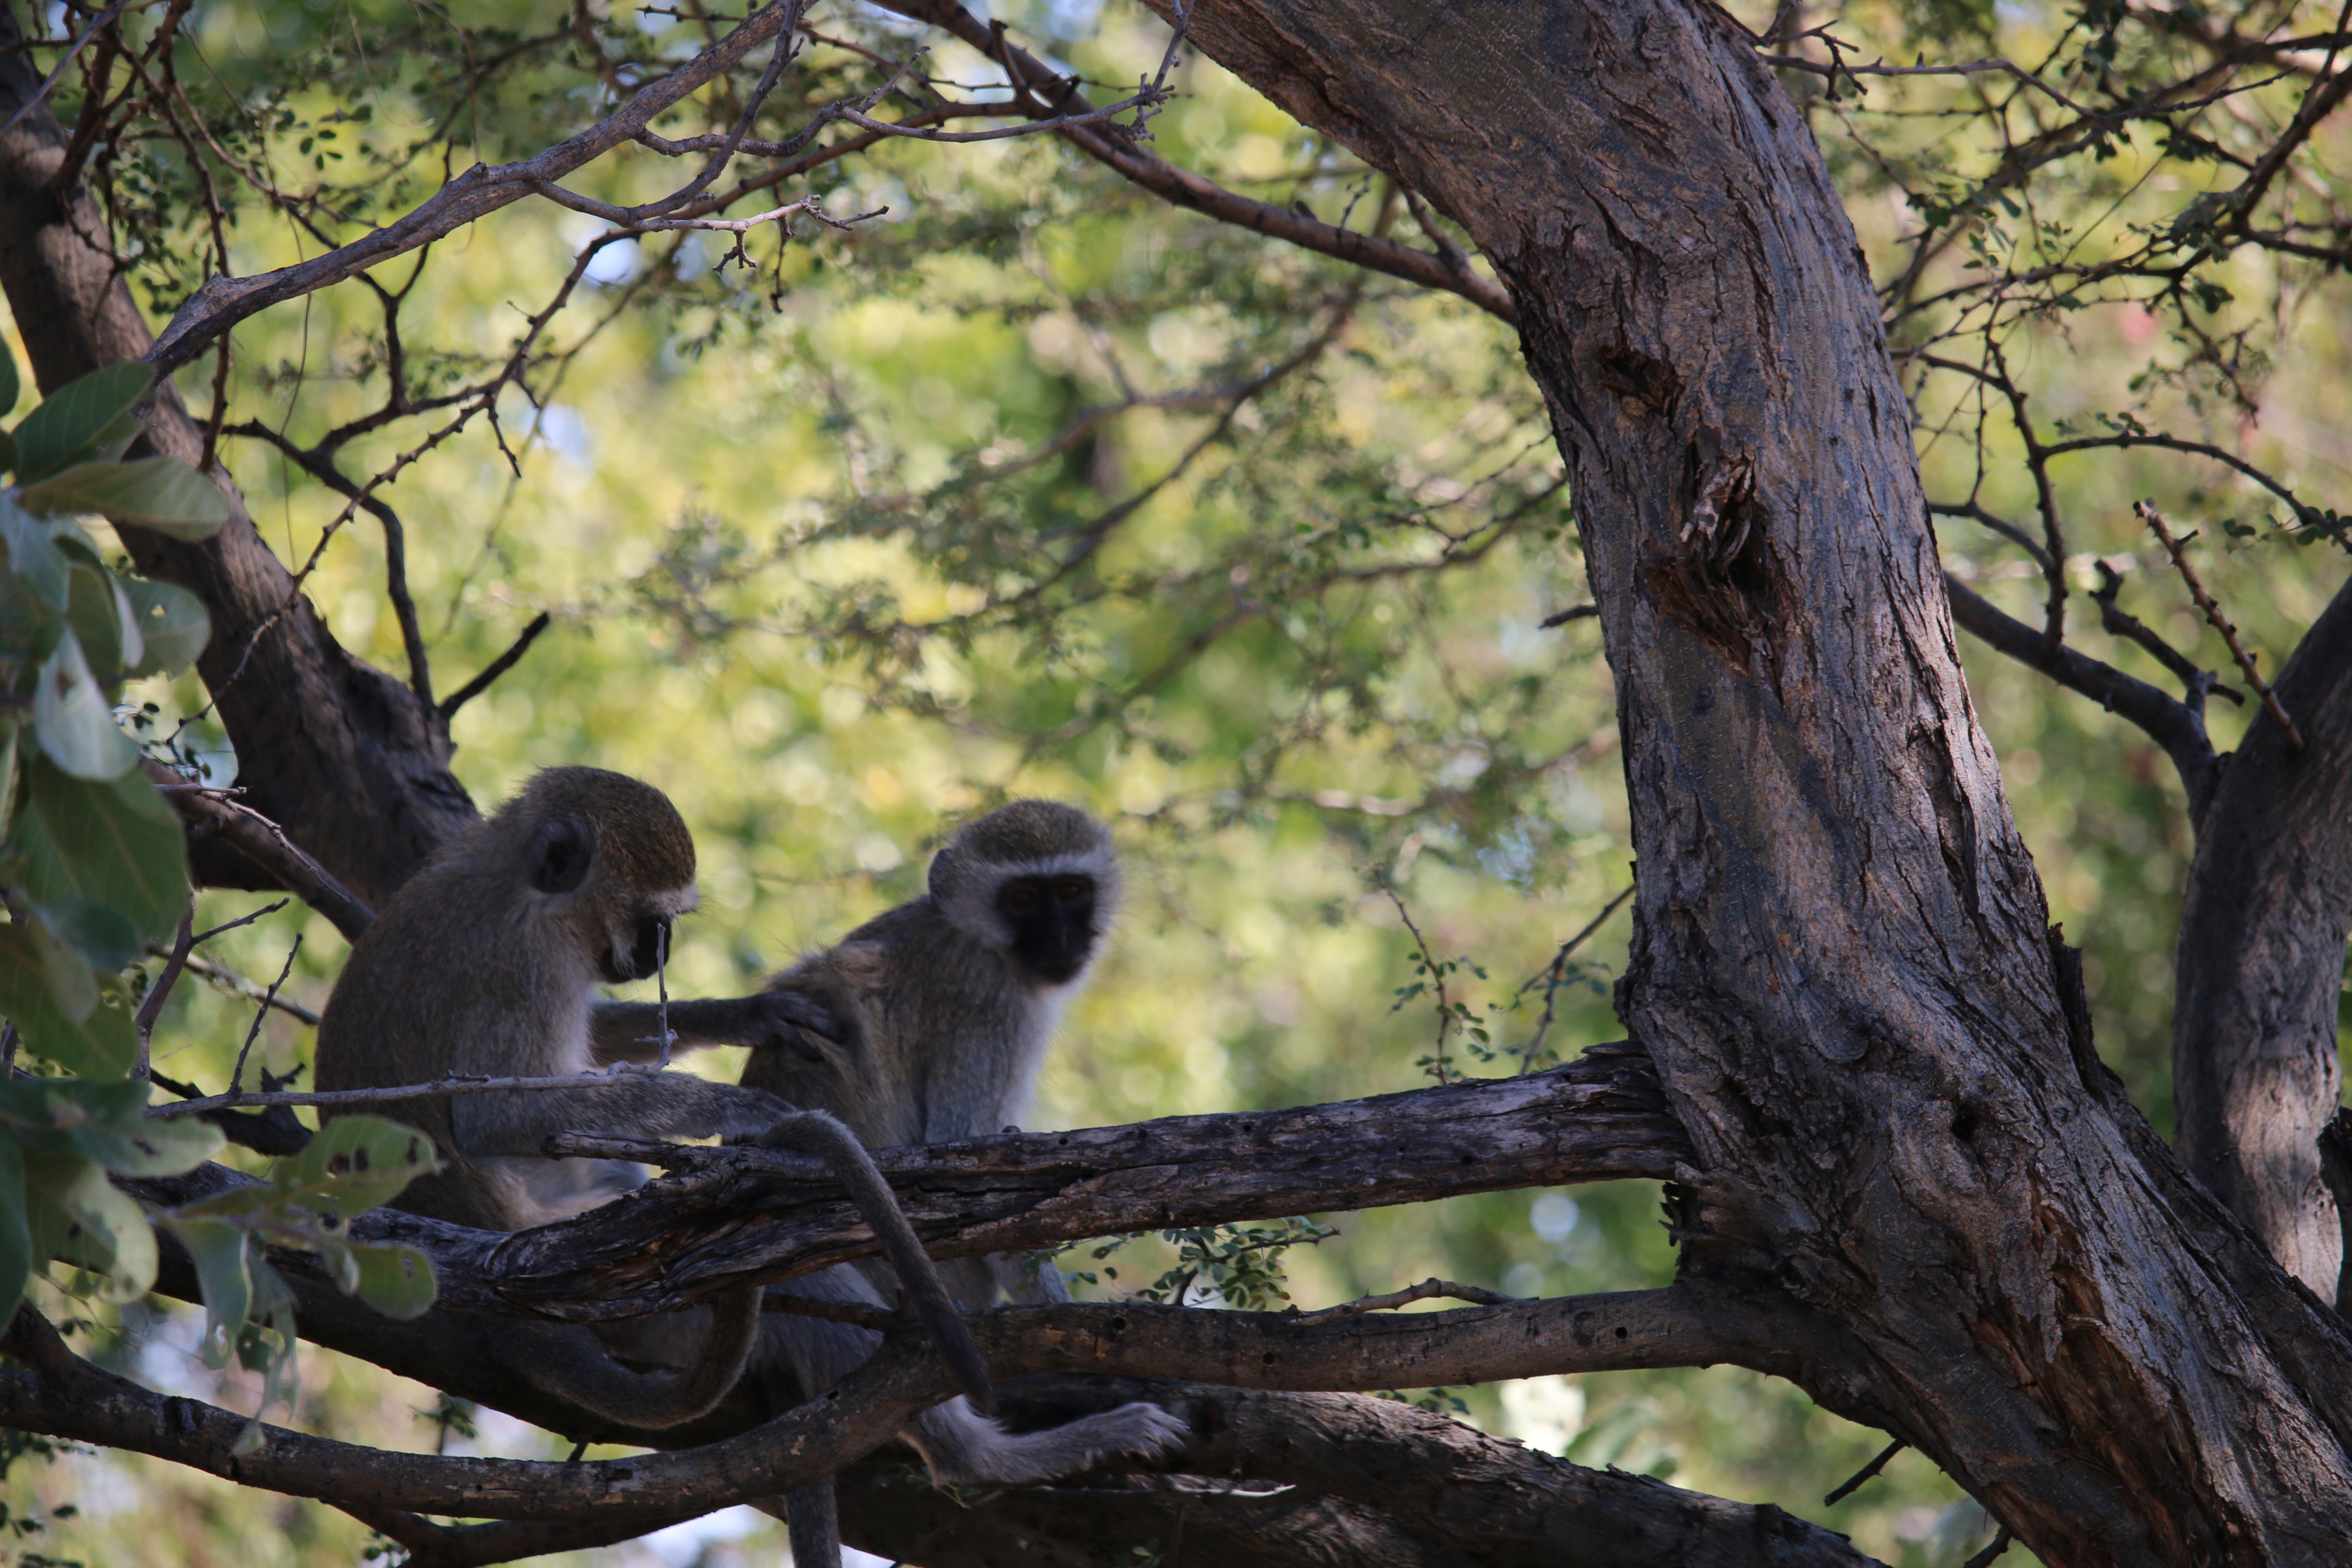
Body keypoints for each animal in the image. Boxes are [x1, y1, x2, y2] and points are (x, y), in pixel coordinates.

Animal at [308, 771, 988, 1439]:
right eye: (652, 921)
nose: (663, 952)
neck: (519, 883)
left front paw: (753, 1014)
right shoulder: (524, 965)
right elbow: (496, 1117)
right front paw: (732, 1106)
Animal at [748, 804, 1194, 1568]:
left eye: (1070, 891)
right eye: (1021, 899)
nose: (1060, 939)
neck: (971, 935)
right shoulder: (988, 1003)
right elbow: (973, 1164)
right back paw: (997, 1456)